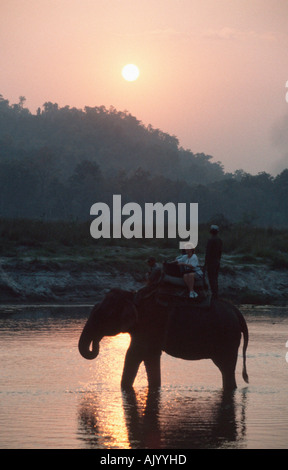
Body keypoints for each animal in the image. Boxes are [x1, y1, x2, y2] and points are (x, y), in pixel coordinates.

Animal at [77, 288, 249, 392]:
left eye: (100, 317)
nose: (96, 342)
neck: (132, 297)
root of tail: (237, 311)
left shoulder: (149, 324)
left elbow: (134, 354)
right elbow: (148, 356)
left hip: (227, 337)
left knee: (226, 367)